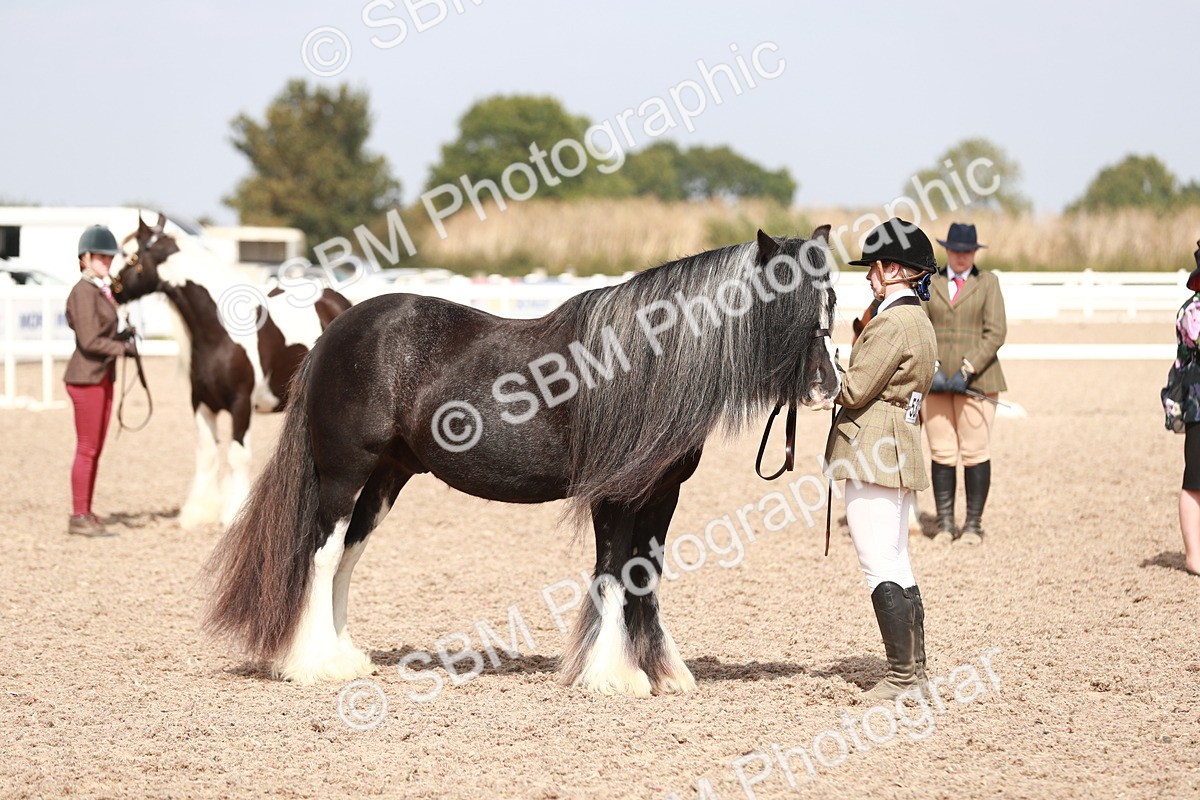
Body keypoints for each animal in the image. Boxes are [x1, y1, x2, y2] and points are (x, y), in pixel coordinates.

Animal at [114, 213, 352, 530]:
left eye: (129, 256)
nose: (113, 290)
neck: (220, 331)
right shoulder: (202, 405)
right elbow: (207, 454)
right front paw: (197, 513)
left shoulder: (241, 404)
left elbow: (238, 455)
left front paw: (233, 512)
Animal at [205, 227, 842, 694]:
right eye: (782, 302)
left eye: (831, 298)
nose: (825, 388)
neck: (645, 365)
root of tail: (336, 330)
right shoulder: (614, 496)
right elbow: (614, 574)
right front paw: (611, 677)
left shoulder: (662, 495)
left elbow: (645, 577)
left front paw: (662, 673)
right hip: (344, 474)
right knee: (321, 554)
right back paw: (313, 665)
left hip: (386, 478)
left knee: (346, 559)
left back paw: (345, 659)